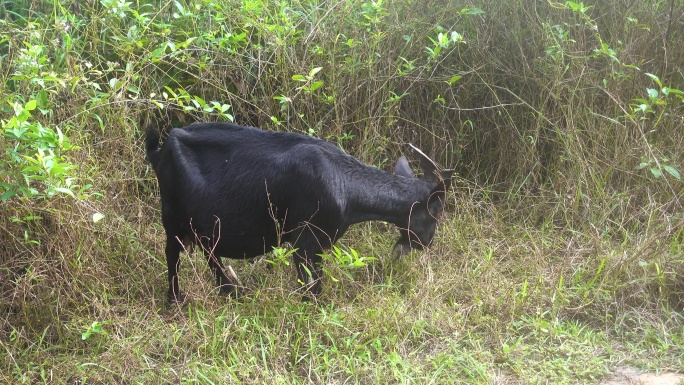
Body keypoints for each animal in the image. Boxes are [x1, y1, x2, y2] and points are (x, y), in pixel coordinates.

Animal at [146, 121, 454, 302]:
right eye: (437, 209)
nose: (428, 242)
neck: (345, 184)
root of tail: (159, 151)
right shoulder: (307, 238)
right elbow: (312, 284)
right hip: (172, 216)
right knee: (173, 254)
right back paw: (176, 299)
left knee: (209, 251)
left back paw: (231, 291)